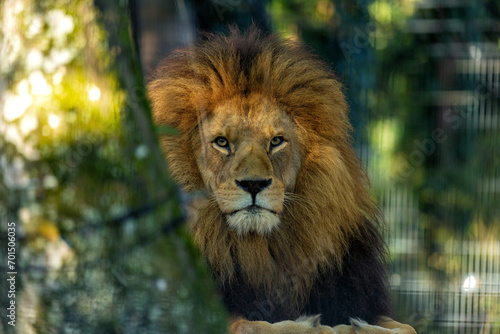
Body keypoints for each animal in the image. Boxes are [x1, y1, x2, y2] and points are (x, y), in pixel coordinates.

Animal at [148, 26, 418, 334]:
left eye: (276, 141)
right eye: (221, 142)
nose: (253, 184)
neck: (259, 250)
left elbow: (408, 328)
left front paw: (356, 325)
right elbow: (254, 325)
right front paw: (322, 326)